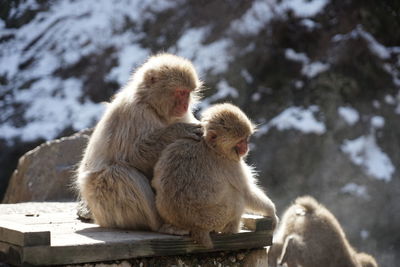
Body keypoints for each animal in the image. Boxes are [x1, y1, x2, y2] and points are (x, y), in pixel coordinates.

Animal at [76, 52, 203, 232]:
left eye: (188, 93)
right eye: (180, 92)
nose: (185, 105)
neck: (150, 105)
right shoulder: (135, 113)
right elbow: (134, 155)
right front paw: (179, 131)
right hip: (103, 207)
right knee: (118, 174)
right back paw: (161, 225)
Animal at [152, 103, 280, 249]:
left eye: (246, 139)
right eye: (239, 142)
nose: (246, 148)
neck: (210, 145)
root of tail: (195, 227)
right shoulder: (230, 164)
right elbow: (247, 192)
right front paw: (272, 212)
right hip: (216, 218)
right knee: (237, 197)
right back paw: (233, 228)